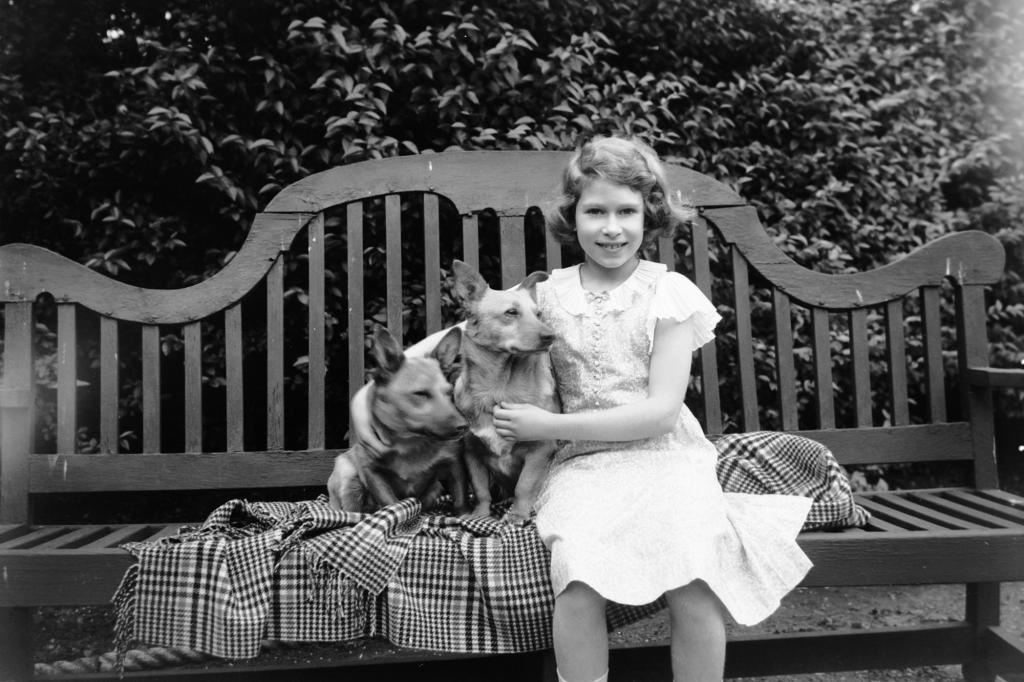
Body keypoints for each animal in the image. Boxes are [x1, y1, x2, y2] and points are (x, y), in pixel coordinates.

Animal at [327, 323, 468, 509]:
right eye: (420, 394)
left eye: (450, 393)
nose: (464, 426)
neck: (410, 443)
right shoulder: (371, 471)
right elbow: (392, 504)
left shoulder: (454, 464)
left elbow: (460, 501)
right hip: (348, 476)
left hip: (435, 489)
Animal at [450, 259, 561, 520]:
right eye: (511, 313)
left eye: (538, 314)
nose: (551, 336)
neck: (498, 387)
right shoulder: (472, 452)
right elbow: (480, 489)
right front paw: (480, 515)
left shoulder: (540, 450)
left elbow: (524, 486)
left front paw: (517, 515)